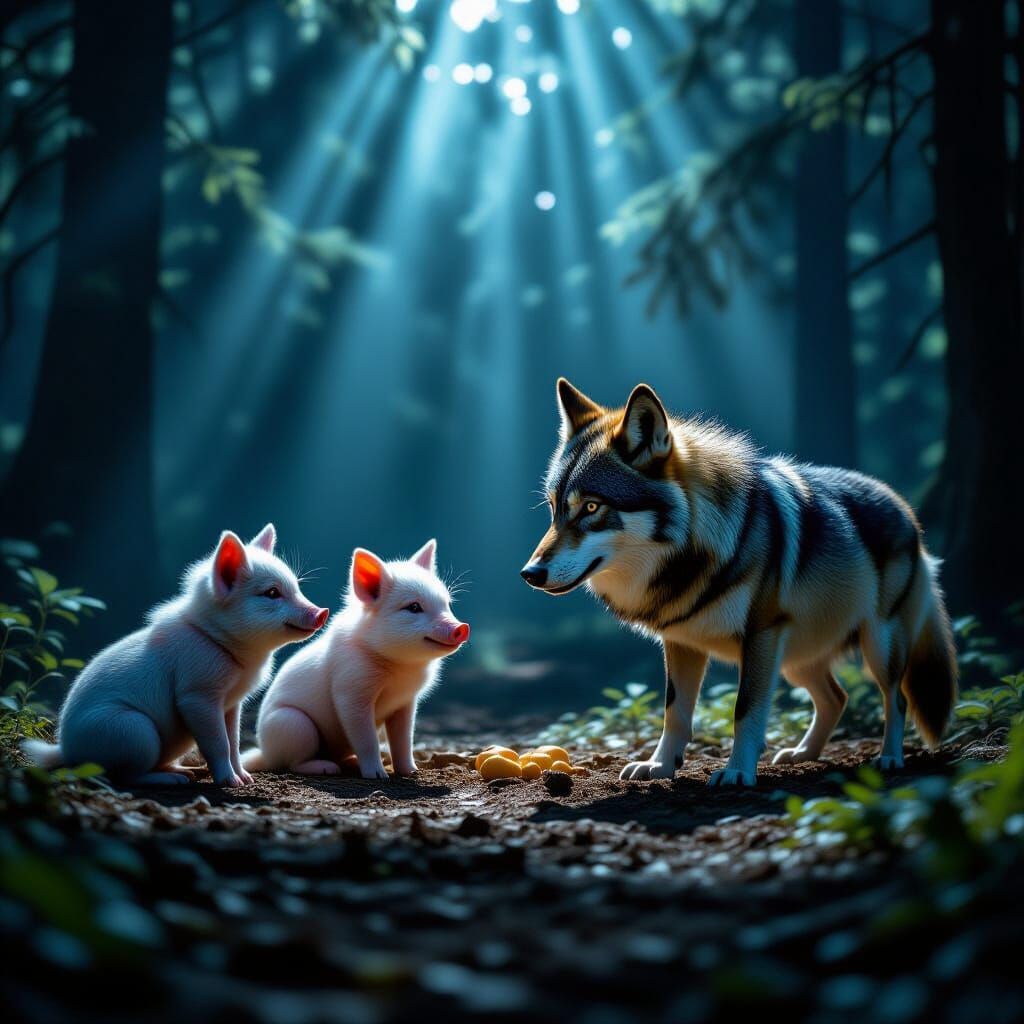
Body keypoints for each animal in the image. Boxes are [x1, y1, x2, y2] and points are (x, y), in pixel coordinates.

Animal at [22, 524, 329, 787]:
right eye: (272, 593)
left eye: (296, 586)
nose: (322, 612)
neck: (224, 646)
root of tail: (67, 751)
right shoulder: (196, 694)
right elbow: (218, 742)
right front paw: (231, 783)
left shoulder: (232, 704)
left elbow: (234, 740)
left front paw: (246, 779)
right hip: (133, 731)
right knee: (124, 776)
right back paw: (175, 780)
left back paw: (187, 772)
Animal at [242, 540, 470, 779]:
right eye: (414, 607)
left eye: (447, 603)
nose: (462, 628)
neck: (401, 670)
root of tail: (264, 752)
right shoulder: (350, 690)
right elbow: (366, 737)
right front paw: (378, 776)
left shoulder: (405, 702)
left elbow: (403, 739)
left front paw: (411, 772)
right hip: (293, 724)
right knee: (293, 763)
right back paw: (327, 768)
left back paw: (351, 762)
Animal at [521, 379, 957, 786]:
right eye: (554, 509)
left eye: (591, 507)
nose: (530, 574)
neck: (694, 553)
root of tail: (906, 509)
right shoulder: (681, 641)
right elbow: (674, 712)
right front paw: (659, 766)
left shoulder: (761, 635)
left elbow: (745, 709)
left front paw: (736, 771)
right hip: (796, 661)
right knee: (837, 697)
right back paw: (802, 754)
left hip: (876, 646)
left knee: (896, 698)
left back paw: (889, 757)